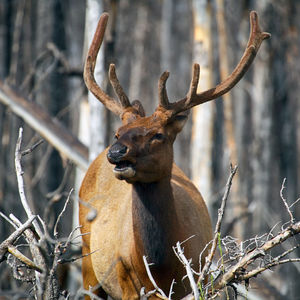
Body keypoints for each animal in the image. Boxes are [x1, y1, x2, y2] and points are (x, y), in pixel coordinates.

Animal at [79, 10, 270, 298]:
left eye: (158, 135)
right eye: (117, 132)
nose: (116, 152)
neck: (160, 266)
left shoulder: (197, 278)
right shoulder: (126, 280)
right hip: (87, 263)